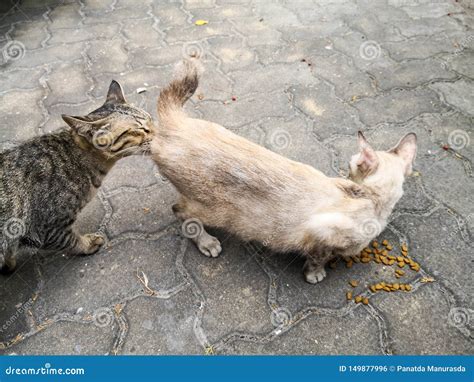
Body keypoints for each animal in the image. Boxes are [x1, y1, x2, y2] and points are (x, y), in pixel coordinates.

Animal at [0, 80, 152, 272]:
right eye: (141, 129)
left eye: (150, 119)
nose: (162, 132)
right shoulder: (47, 228)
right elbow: (70, 240)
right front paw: (88, 244)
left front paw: (9, 263)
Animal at [150, 58, 416, 282]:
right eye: (351, 166)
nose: (346, 174)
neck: (372, 200)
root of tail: (176, 123)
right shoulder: (320, 234)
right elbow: (318, 258)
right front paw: (315, 275)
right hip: (214, 211)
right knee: (180, 212)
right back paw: (207, 242)